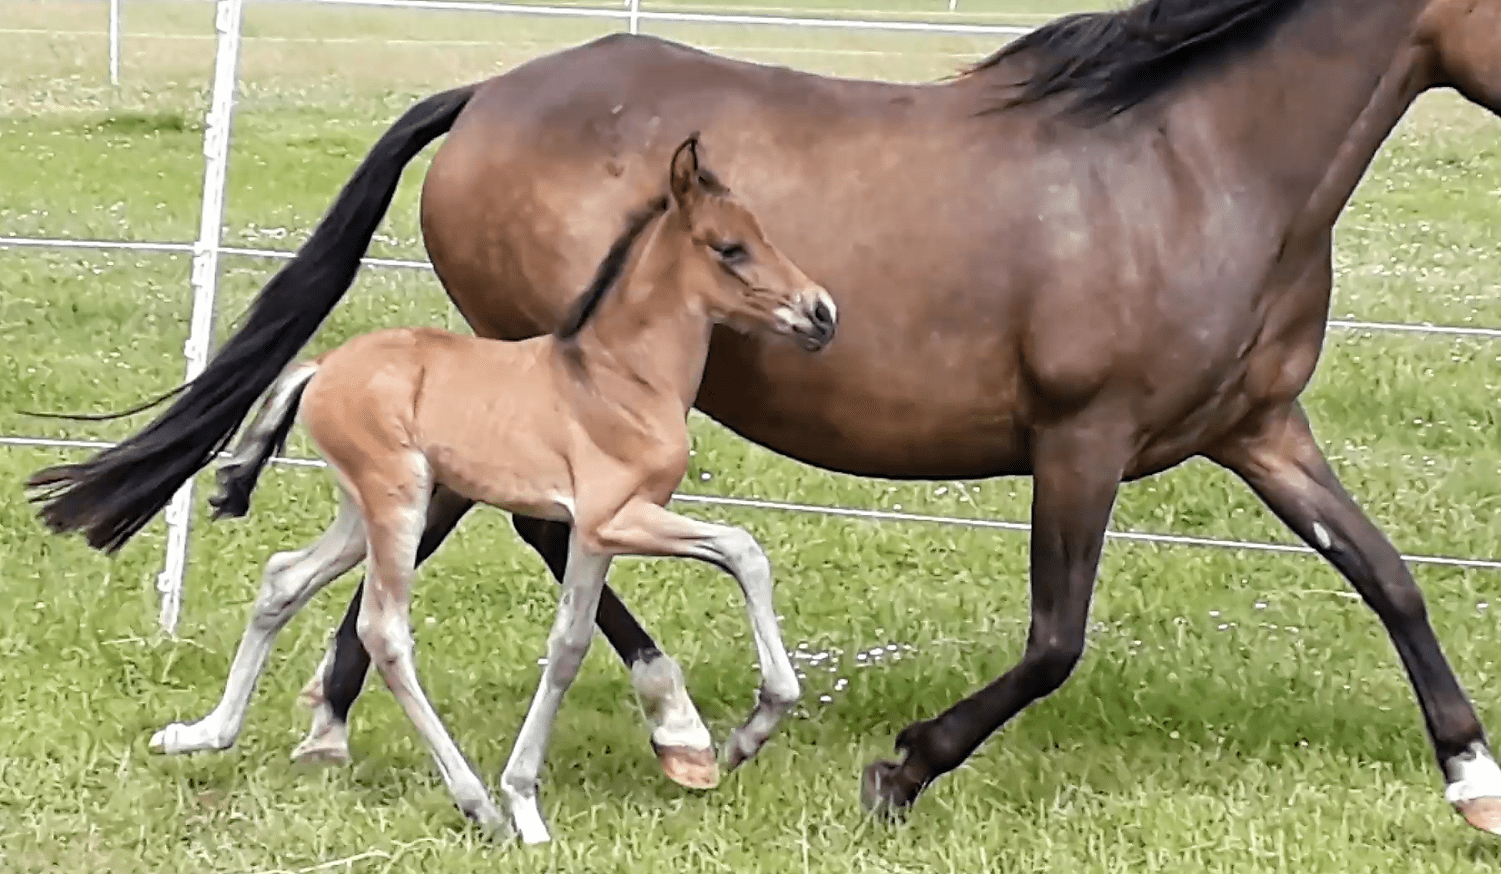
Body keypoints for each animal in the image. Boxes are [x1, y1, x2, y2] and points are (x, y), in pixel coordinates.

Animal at [115, 134, 838, 842]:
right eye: (730, 247)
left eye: (762, 234)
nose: (821, 312)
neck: (619, 379)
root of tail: (320, 366)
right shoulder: (612, 519)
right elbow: (741, 550)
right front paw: (746, 732)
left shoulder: (595, 535)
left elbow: (571, 645)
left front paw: (535, 796)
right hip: (397, 502)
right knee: (383, 630)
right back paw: (474, 803)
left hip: (362, 511)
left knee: (282, 578)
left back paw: (199, 734)